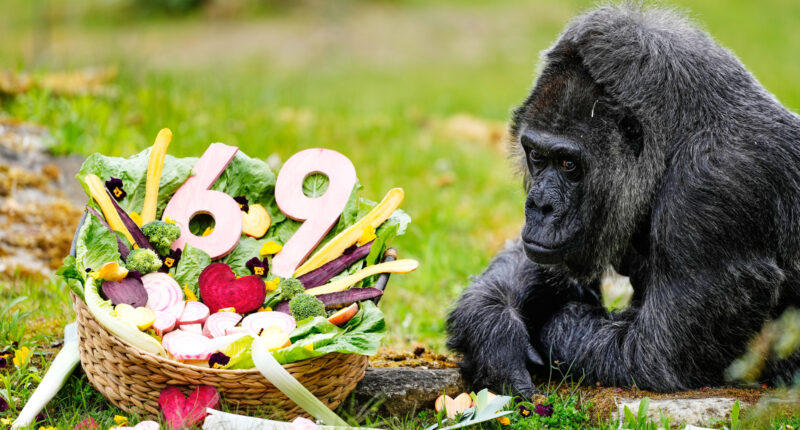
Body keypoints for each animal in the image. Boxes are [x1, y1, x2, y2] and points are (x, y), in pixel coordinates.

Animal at [446, 4, 800, 396]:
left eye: (569, 165)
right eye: (537, 156)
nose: (540, 206)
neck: (676, 141)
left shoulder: (716, 189)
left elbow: (651, 356)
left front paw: (551, 324)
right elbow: (536, 263)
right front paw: (493, 330)